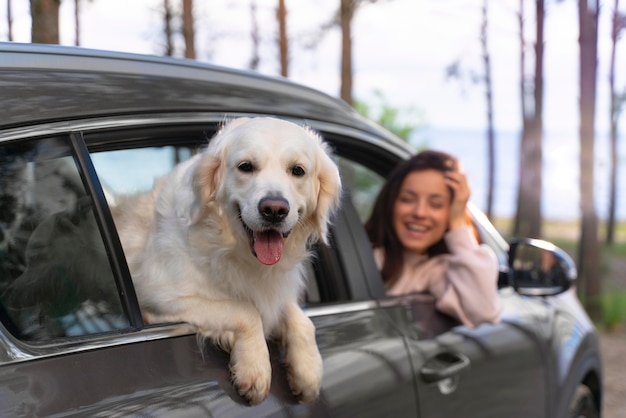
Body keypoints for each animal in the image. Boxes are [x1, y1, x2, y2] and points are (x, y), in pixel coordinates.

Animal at [111, 116, 342, 404]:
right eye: (246, 167)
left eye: (297, 171)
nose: (274, 209)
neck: (233, 249)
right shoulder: (158, 298)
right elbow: (245, 310)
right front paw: (254, 368)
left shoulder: (275, 290)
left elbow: (300, 318)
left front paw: (308, 370)